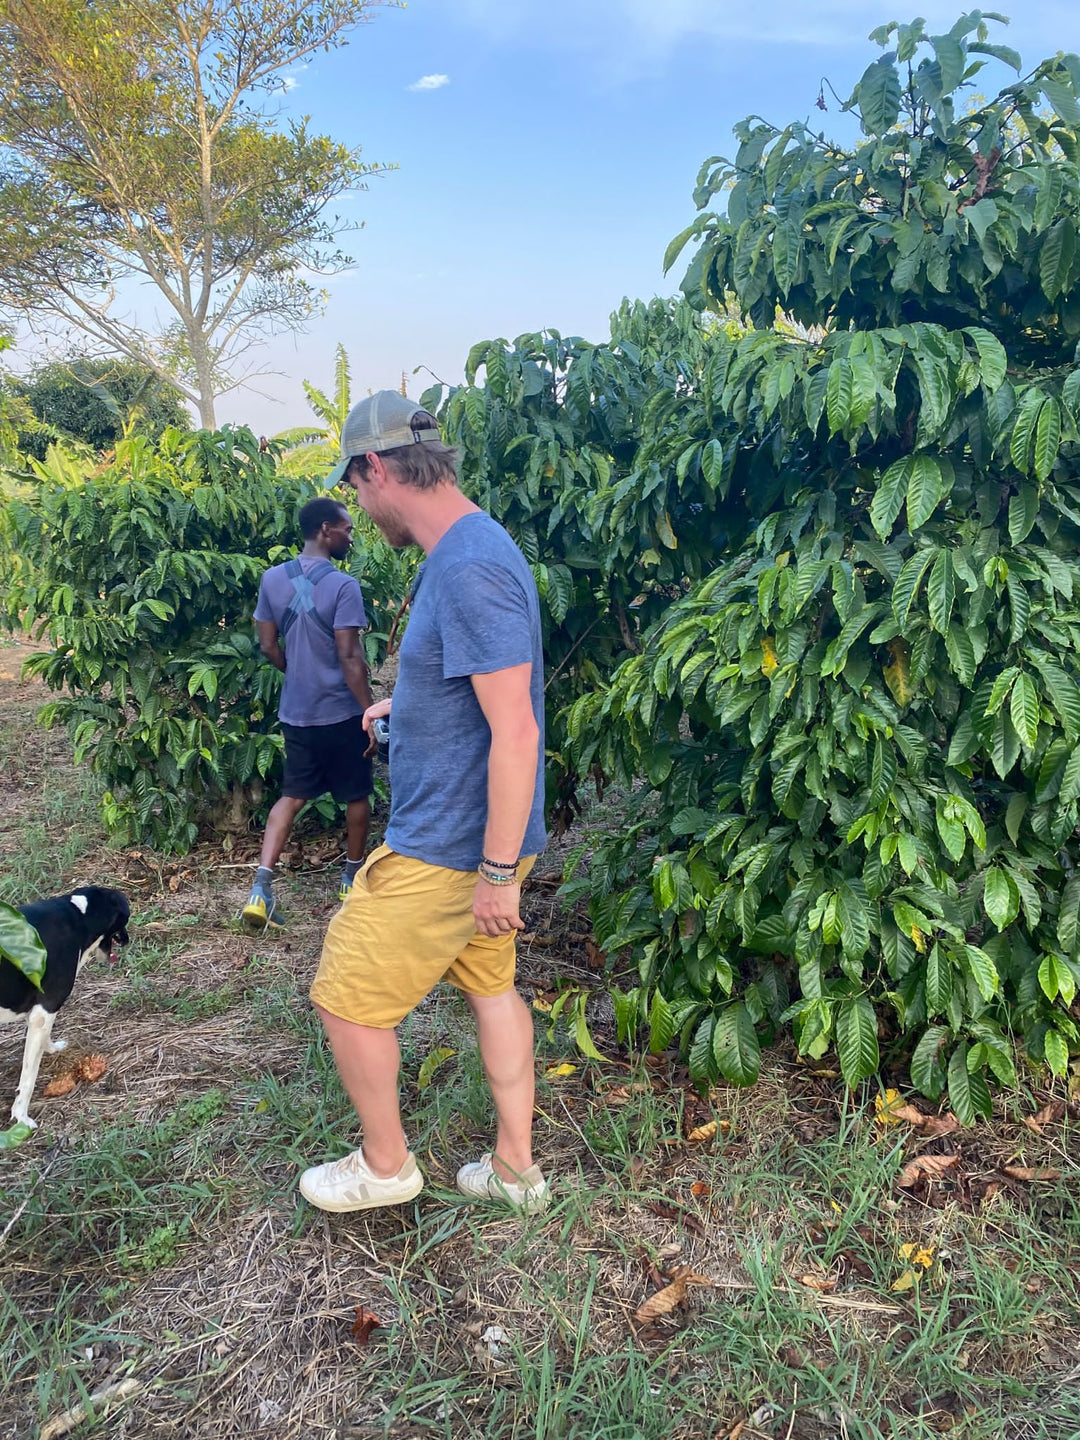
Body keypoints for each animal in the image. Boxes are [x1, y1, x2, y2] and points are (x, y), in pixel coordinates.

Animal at [1, 881, 131, 1128]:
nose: (127, 940)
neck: (78, 915)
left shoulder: (41, 1014)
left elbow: (44, 1039)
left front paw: (51, 1049)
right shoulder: (45, 1010)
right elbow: (28, 1077)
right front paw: (22, 1117)